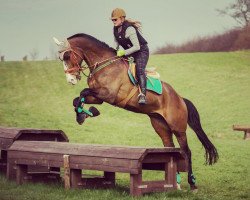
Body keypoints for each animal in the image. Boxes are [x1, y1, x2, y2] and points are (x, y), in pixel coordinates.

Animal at [53, 33, 218, 191]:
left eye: (67, 56)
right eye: (61, 58)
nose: (70, 80)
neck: (105, 64)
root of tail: (180, 99)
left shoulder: (107, 94)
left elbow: (83, 92)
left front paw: (86, 113)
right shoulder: (98, 97)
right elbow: (77, 99)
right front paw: (83, 114)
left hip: (178, 127)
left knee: (186, 152)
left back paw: (192, 183)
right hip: (160, 125)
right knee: (171, 148)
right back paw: (175, 183)